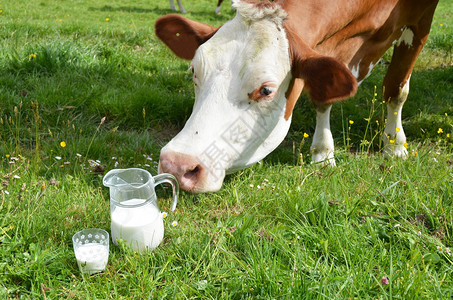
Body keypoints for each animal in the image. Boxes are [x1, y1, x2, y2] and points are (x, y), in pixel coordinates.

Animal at [154, 0, 438, 192]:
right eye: (194, 71)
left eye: (266, 90)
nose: (177, 164)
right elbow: (323, 98)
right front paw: (323, 153)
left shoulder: (421, 21)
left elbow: (396, 89)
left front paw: (395, 144)